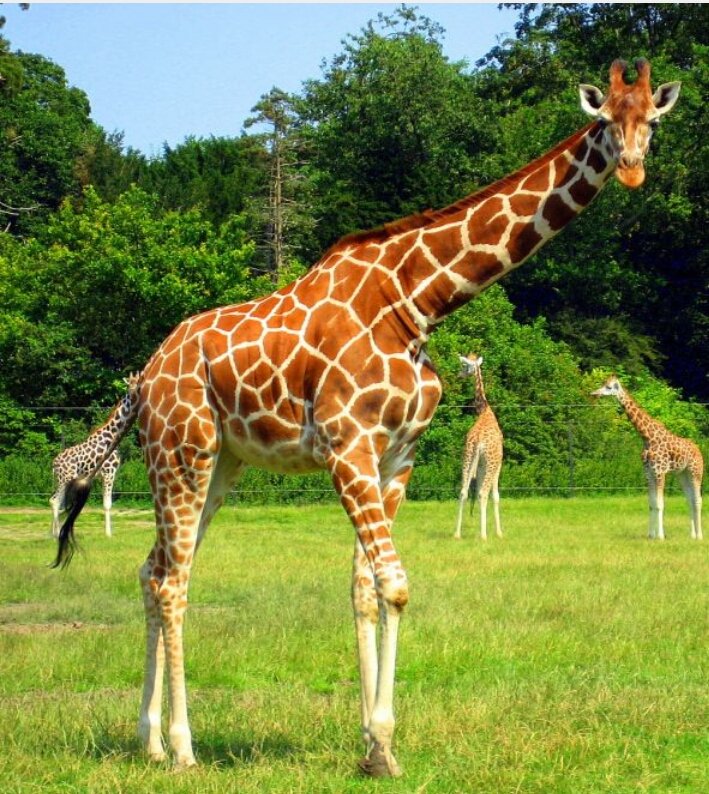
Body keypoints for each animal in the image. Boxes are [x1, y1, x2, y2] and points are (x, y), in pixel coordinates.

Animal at [454, 354, 503, 540]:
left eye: (463, 365)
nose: (459, 375)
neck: (484, 410)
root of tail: (478, 442)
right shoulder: (498, 464)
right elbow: (495, 496)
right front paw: (499, 532)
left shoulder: (481, 464)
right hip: (490, 463)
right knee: (482, 493)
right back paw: (483, 536)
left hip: (467, 458)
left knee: (463, 492)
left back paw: (457, 534)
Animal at [592, 375, 703, 540]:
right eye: (603, 383)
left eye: (609, 387)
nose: (594, 393)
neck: (647, 437)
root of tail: (699, 450)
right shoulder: (648, 473)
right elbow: (652, 504)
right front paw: (651, 535)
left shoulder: (660, 471)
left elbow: (660, 504)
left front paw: (661, 536)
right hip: (682, 474)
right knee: (689, 500)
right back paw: (692, 535)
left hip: (696, 472)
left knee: (697, 500)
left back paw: (700, 536)